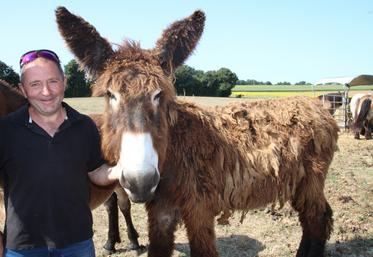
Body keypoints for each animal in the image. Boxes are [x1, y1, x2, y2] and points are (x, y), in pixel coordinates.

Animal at [56, 6, 340, 256]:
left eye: (159, 94)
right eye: (110, 95)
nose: (140, 180)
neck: (176, 150)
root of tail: (317, 105)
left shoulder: (200, 208)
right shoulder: (161, 211)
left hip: (311, 180)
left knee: (319, 219)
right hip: (299, 183)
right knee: (312, 219)